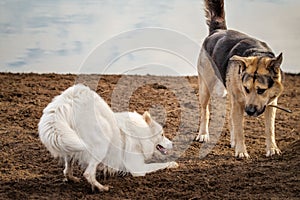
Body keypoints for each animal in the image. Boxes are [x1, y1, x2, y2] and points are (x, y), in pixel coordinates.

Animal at [38, 83, 178, 191]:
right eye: (162, 134)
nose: (173, 144)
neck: (140, 134)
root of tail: (69, 101)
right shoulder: (138, 169)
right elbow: (158, 165)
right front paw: (173, 164)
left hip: (70, 143)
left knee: (67, 169)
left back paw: (72, 178)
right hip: (101, 144)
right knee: (88, 173)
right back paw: (101, 187)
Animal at [196, 0, 284, 159]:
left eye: (261, 90)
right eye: (246, 88)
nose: (249, 111)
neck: (257, 53)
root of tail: (217, 31)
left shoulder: (271, 104)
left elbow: (270, 129)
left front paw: (272, 149)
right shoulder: (239, 103)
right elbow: (240, 130)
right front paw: (241, 151)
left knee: (230, 118)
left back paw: (232, 141)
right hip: (206, 88)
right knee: (205, 111)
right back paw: (204, 134)